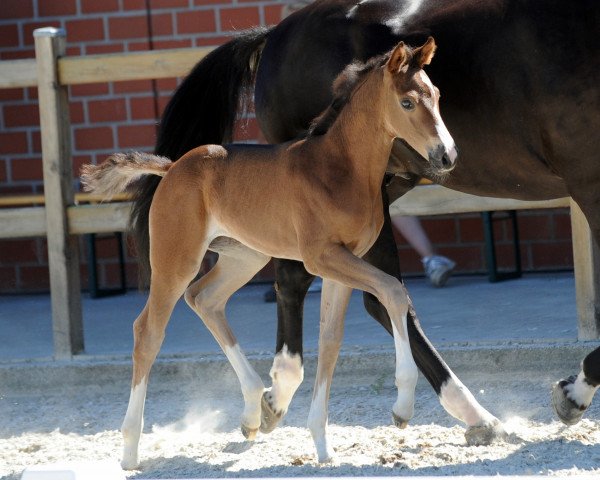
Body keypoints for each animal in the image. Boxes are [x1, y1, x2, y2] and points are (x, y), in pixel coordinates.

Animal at [81, 38, 454, 468]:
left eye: (437, 95)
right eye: (407, 102)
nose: (447, 156)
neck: (338, 168)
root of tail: (173, 168)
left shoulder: (343, 264)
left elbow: (331, 341)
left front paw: (322, 444)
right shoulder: (321, 257)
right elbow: (393, 290)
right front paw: (402, 407)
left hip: (244, 256)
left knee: (204, 298)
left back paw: (253, 410)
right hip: (176, 259)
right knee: (148, 332)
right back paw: (129, 449)